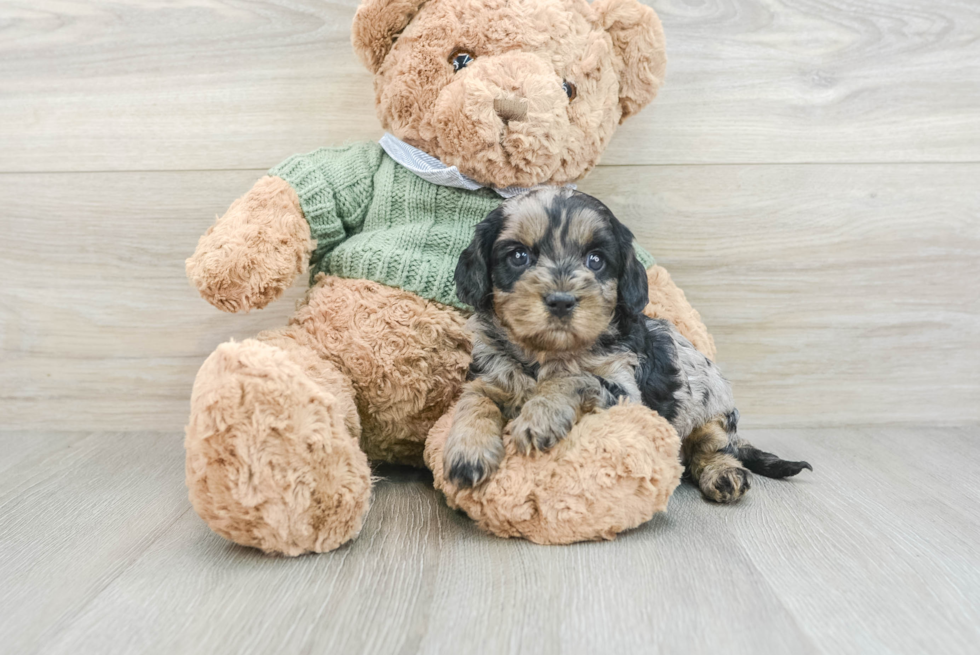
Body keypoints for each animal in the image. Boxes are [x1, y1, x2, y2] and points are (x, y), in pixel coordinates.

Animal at [446, 187, 812, 504]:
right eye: (519, 255)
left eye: (595, 260)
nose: (562, 301)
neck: (545, 353)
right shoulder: (490, 376)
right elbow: (474, 399)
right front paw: (468, 450)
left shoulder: (623, 388)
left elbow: (572, 378)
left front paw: (540, 416)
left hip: (715, 415)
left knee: (713, 449)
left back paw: (722, 474)